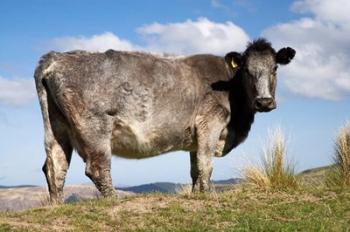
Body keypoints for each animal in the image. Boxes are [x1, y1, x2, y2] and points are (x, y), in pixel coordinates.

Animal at [34, 38, 296, 203]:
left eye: (275, 68)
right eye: (247, 71)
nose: (264, 102)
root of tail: (56, 57)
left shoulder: (195, 137)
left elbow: (195, 168)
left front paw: (196, 194)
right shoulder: (210, 122)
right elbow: (206, 163)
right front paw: (208, 195)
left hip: (56, 126)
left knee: (55, 165)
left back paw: (56, 205)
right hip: (95, 127)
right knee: (97, 167)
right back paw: (113, 199)